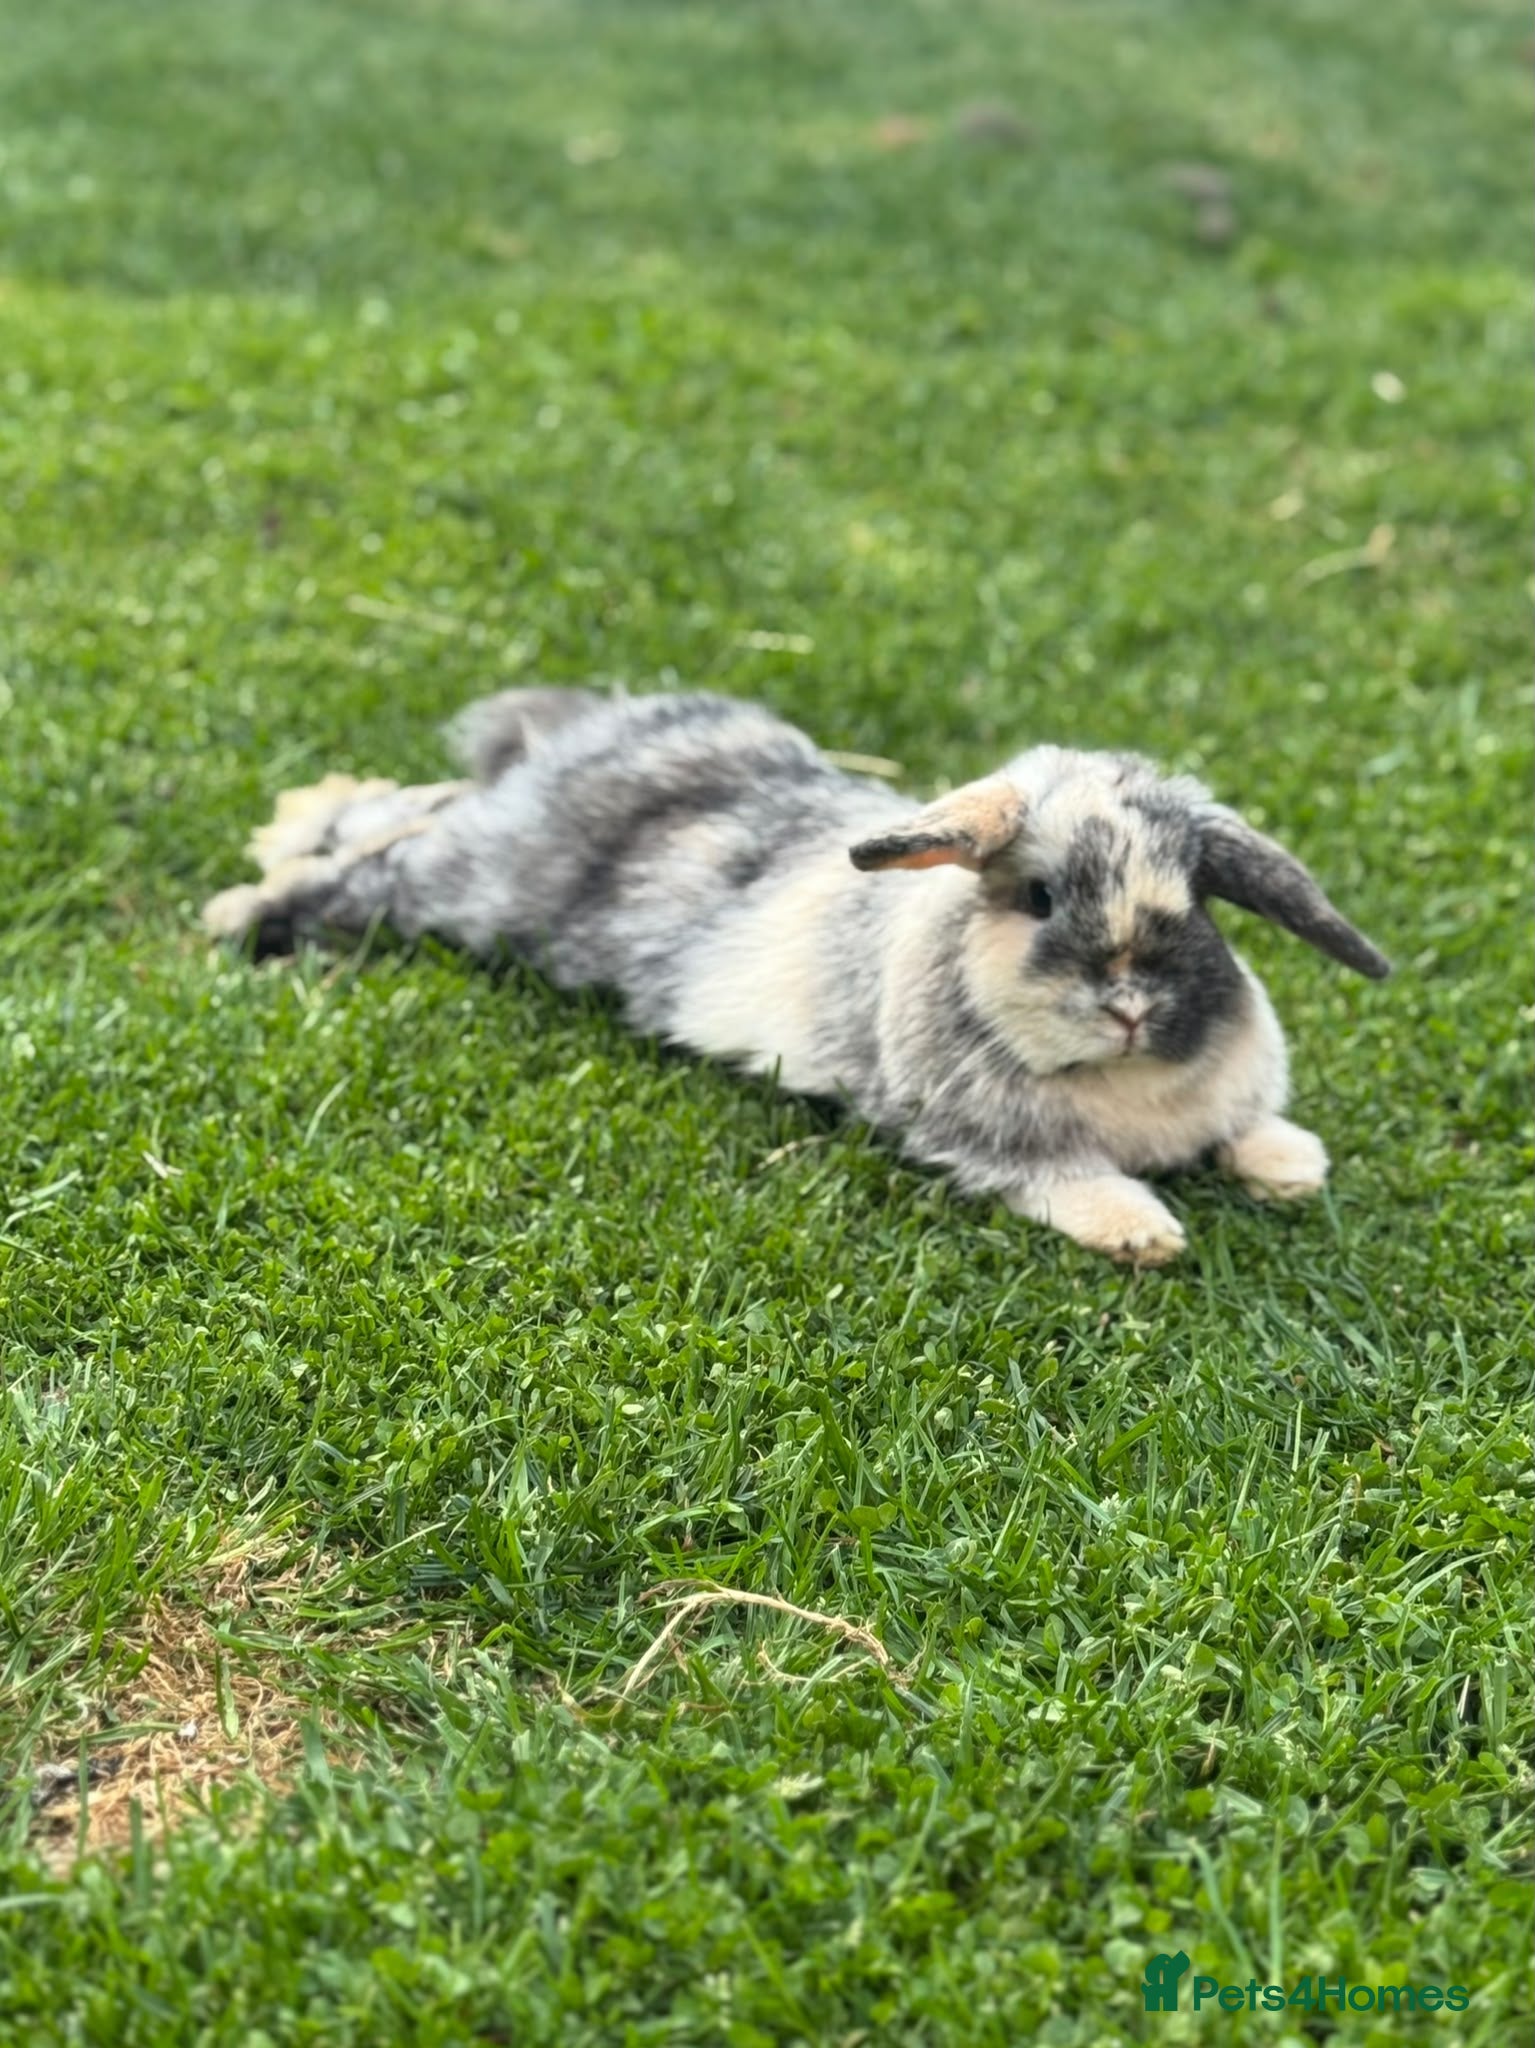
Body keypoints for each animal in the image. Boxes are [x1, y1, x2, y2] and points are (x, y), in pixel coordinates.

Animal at [203, 687, 1389, 1264]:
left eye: (1196, 903)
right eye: (1040, 898)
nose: (1133, 1007)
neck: (1122, 1087)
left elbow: (1247, 1128)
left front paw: (1294, 1166)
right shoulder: (982, 1140)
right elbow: (1065, 1176)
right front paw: (1142, 1235)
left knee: (407, 806)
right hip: (472, 889)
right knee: (370, 870)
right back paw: (241, 912)